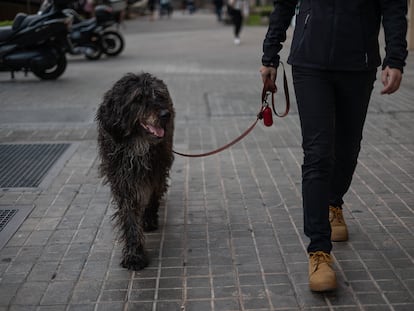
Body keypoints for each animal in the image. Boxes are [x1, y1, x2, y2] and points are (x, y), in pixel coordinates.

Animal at [96, 72, 174, 270]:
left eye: (158, 95)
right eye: (138, 98)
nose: (165, 114)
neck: (136, 145)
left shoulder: (156, 170)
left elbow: (153, 193)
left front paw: (148, 217)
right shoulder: (122, 182)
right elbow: (129, 217)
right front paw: (134, 254)